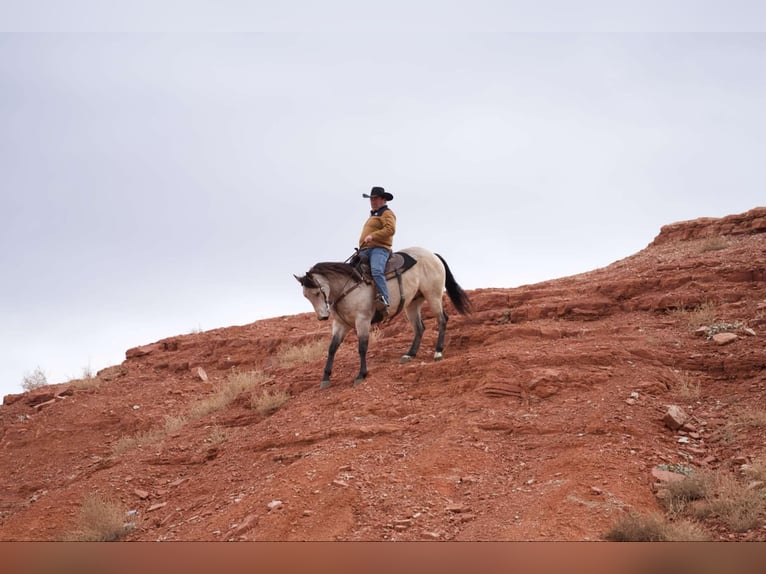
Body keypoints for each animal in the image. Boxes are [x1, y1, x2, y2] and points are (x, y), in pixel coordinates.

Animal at [296, 245, 472, 390]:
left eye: (317, 292)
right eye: (306, 296)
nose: (322, 317)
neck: (347, 287)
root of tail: (433, 255)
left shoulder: (363, 320)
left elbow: (362, 347)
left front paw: (361, 375)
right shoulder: (340, 324)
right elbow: (332, 348)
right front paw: (325, 378)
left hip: (433, 296)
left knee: (442, 320)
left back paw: (438, 352)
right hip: (412, 303)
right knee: (420, 327)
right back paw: (410, 354)